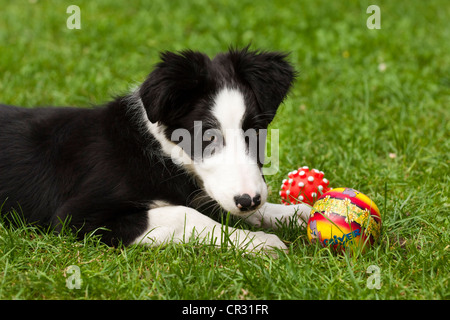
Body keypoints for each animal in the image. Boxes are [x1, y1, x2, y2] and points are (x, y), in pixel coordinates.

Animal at [0, 47, 310, 254]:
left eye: (254, 130)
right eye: (207, 135)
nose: (249, 200)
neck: (158, 150)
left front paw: (293, 213)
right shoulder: (76, 217)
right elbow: (184, 214)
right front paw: (259, 241)